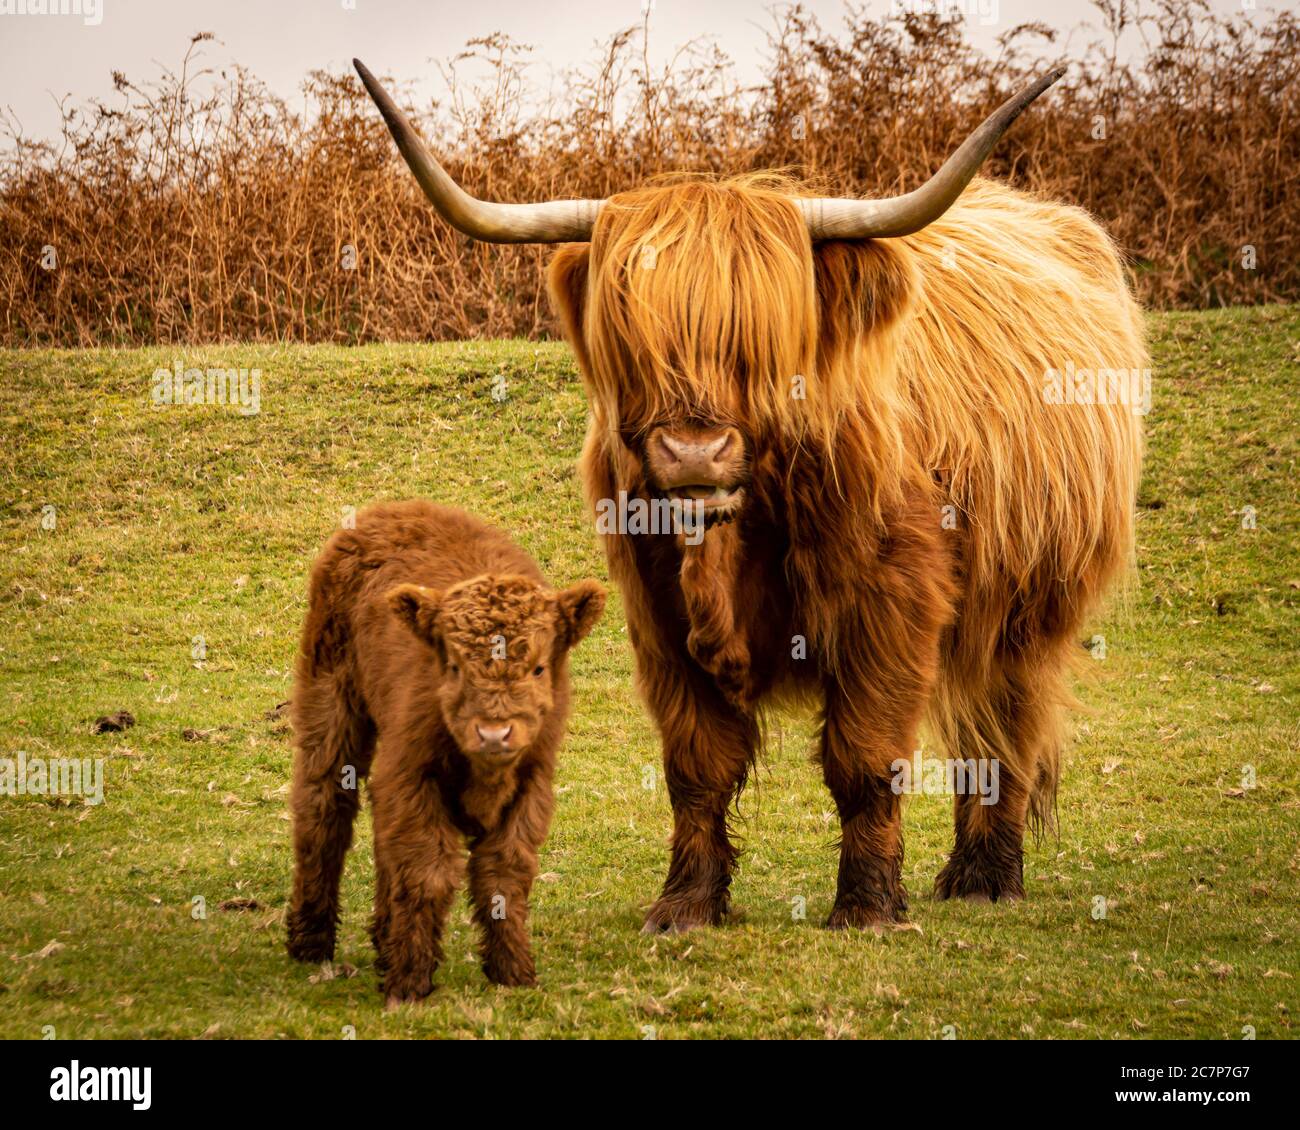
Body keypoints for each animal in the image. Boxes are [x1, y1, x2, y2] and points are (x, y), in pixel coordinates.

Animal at [284, 501, 603, 998]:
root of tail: (395, 508)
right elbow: (427, 873)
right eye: (453, 666)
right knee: (323, 803)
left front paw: (513, 973)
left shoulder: (531, 785)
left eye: (537, 668)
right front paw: (410, 982)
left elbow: (504, 876)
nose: (494, 733)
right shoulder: (411, 774)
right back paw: (310, 941)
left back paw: (382, 938)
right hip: (330, 695)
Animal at [358, 59, 1149, 925]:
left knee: (1005, 726)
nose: (693, 450)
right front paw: (685, 904)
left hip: (1029, 606)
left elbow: (865, 758)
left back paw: (986, 877)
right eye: (635, 338)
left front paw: (868, 905)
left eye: (759, 342)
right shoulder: (656, 611)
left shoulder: (894, 602)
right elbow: (695, 765)